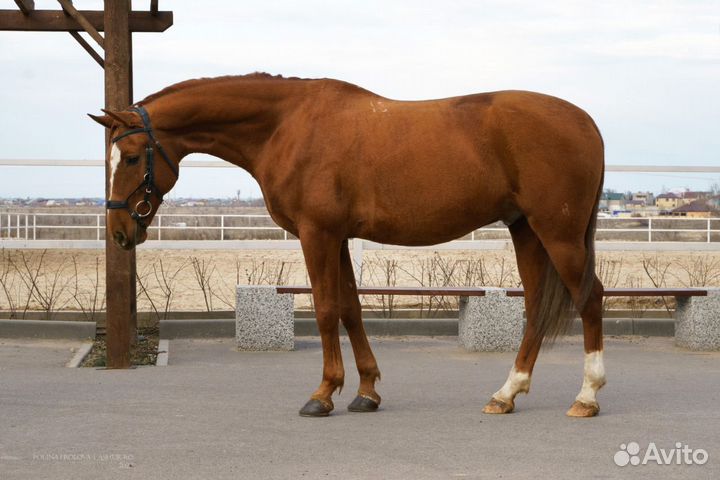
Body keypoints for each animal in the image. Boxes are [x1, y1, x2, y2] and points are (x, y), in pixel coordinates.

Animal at [90, 73, 606, 418]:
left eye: (131, 157)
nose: (119, 232)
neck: (287, 126)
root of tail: (586, 122)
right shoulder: (336, 237)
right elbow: (351, 309)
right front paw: (366, 391)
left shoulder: (317, 234)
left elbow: (324, 310)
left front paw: (322, 394)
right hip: (526, 231)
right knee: (537, 305)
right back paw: (506, 393)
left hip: (558, 234)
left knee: (590, 298)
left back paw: (586, 396)